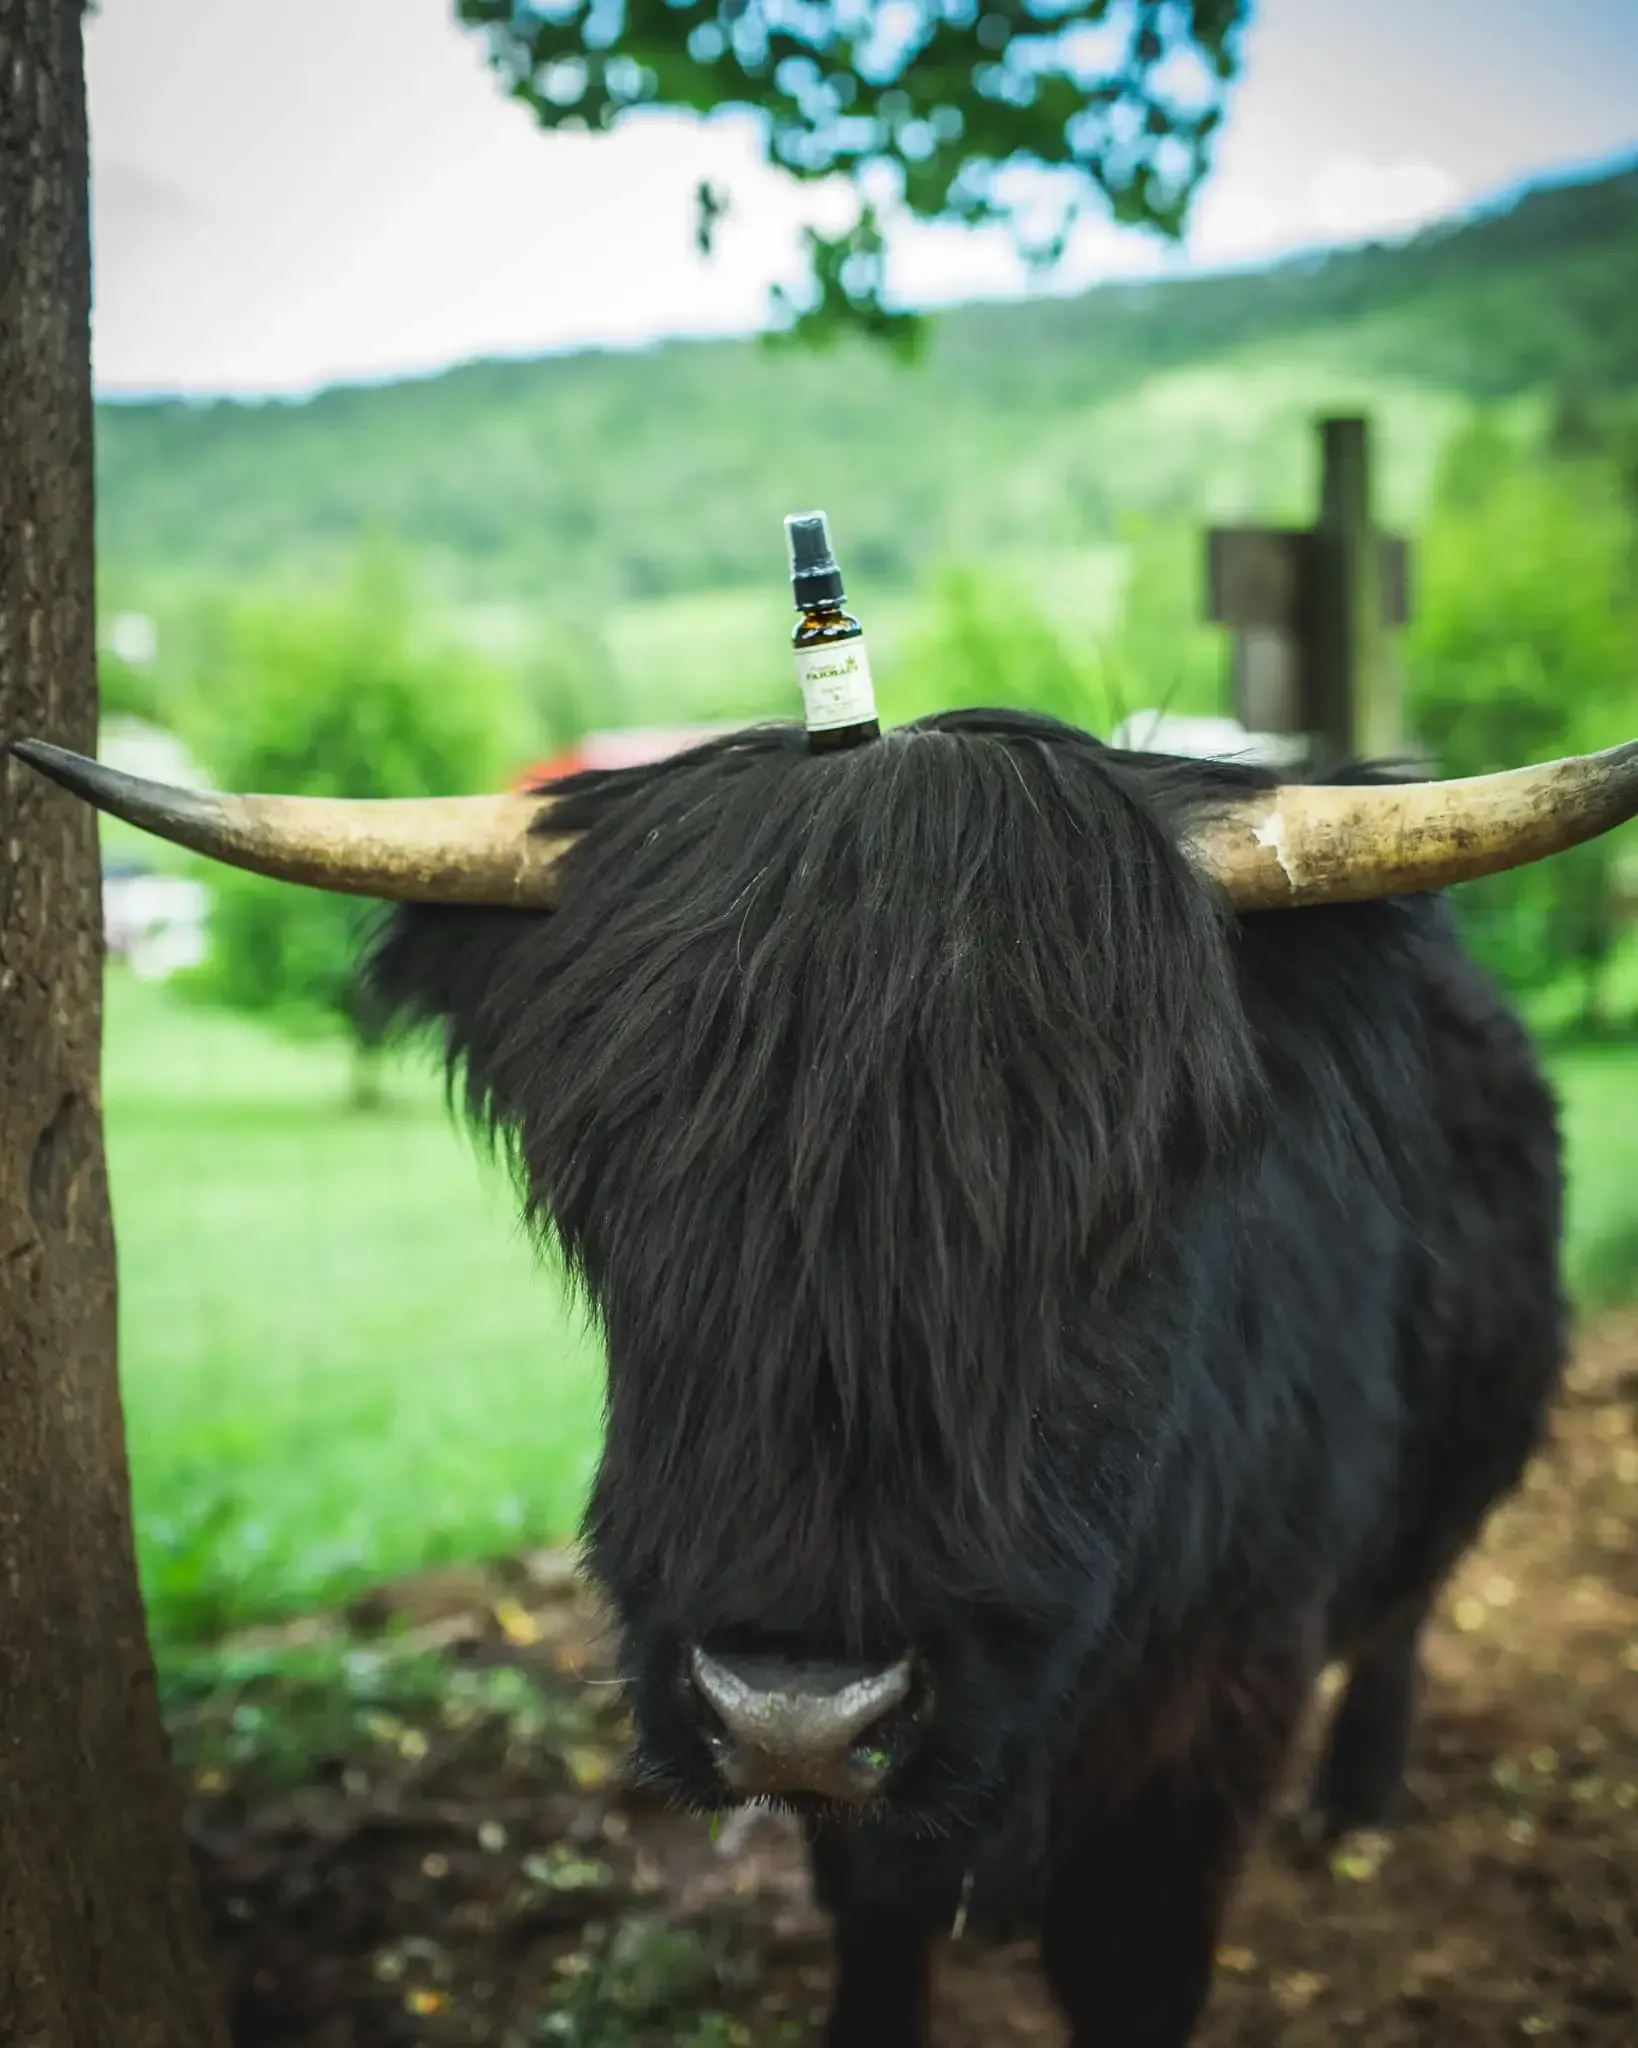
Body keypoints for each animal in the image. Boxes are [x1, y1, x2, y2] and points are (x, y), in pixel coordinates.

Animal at [12, 712, 1638, 2047]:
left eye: (1111, 1212)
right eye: (614, 1208)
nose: (793, 1710)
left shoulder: (1218, 1699)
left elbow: (1134, 1965)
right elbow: (879, 1924)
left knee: (1407, 1610)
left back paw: (1354, 1806)